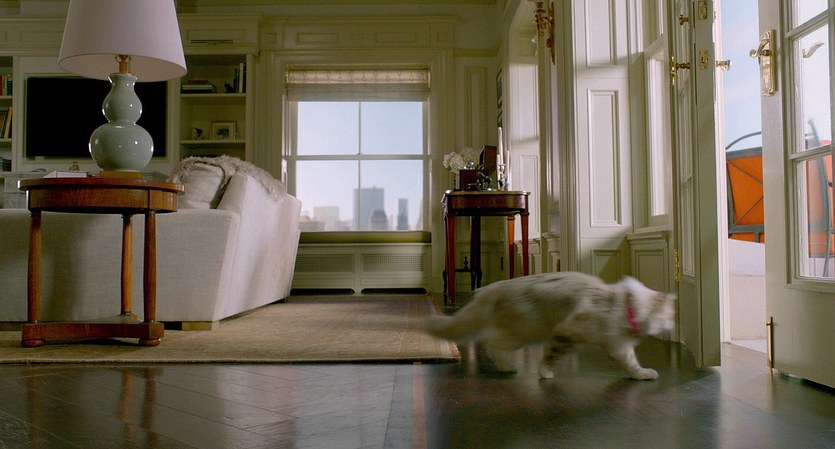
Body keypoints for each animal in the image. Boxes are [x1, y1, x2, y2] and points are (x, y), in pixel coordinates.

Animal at [426, 272, 676, 380]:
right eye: (671, 316)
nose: (674, 324)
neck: (624, 305)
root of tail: (491, 289)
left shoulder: (618, 346)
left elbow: (631, 365)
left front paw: (643, 374)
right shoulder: (566, 333)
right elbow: (549, 357)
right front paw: (545, 374)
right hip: (527, 332)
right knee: (492, 343)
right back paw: (507, 367)